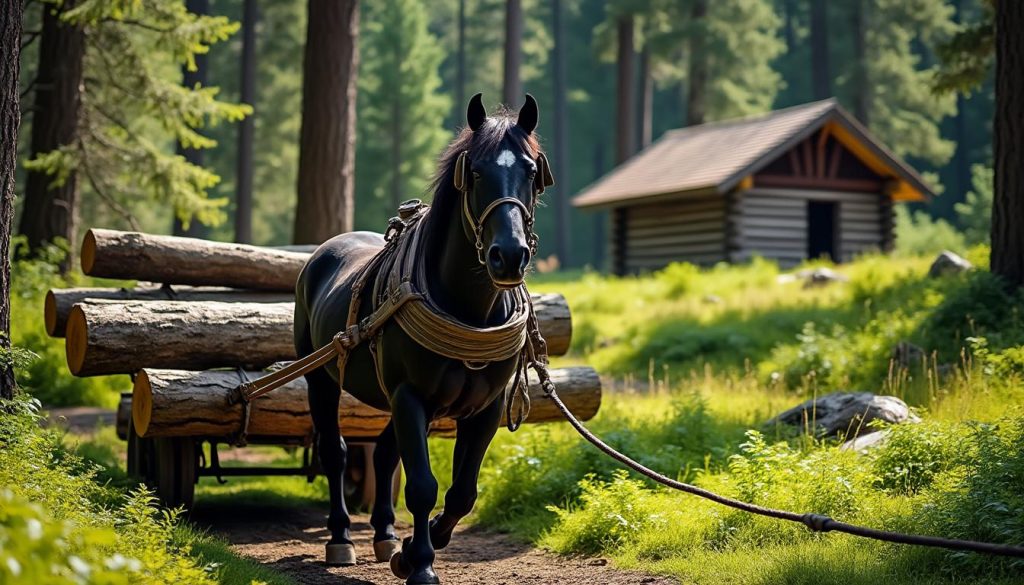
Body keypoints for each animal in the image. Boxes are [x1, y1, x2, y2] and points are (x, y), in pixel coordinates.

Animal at [293, 93, 554, 585]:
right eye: (476, 172)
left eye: (532, 172)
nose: (509, 256)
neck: (469, 311)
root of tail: (323, 251)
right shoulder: (410, 395)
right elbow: (422, 486)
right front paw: (421, 565)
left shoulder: (485, 408)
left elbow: (462, 492)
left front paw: (413, 547)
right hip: (322, 379)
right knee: (336, 453)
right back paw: (341, 538)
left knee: (381, 456)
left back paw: (384, 535)